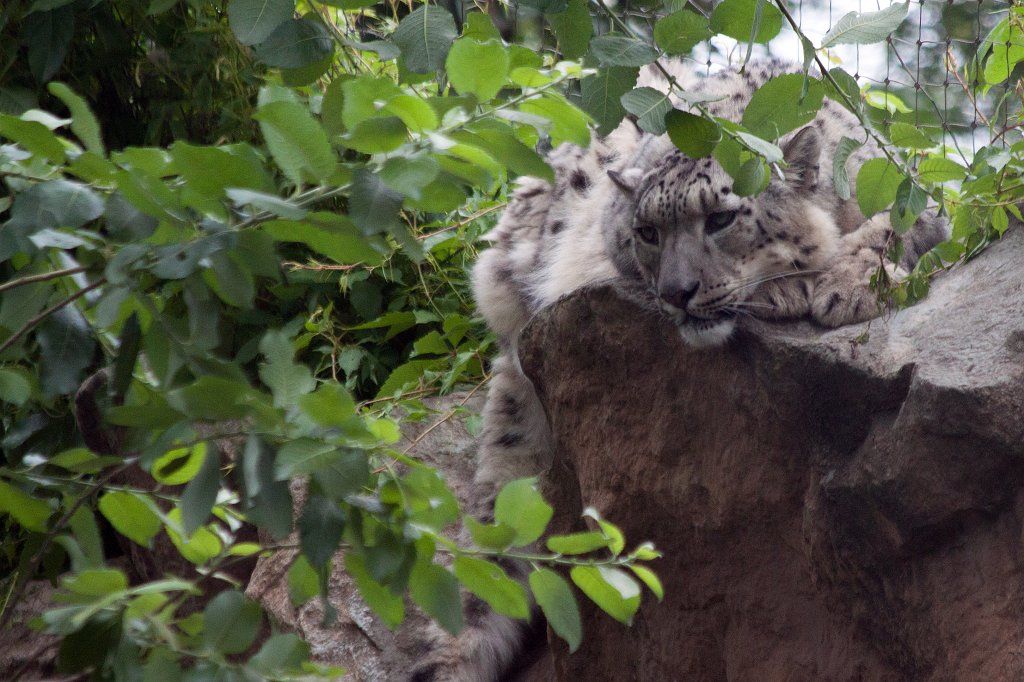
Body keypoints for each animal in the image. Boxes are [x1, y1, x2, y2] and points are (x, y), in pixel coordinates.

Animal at [409, 59, 948, 681]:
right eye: (646, 233)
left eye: (721, 218)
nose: (677, 292)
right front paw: (793, 288)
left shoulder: (919, 197)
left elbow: (896, 221)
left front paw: (848, 286)